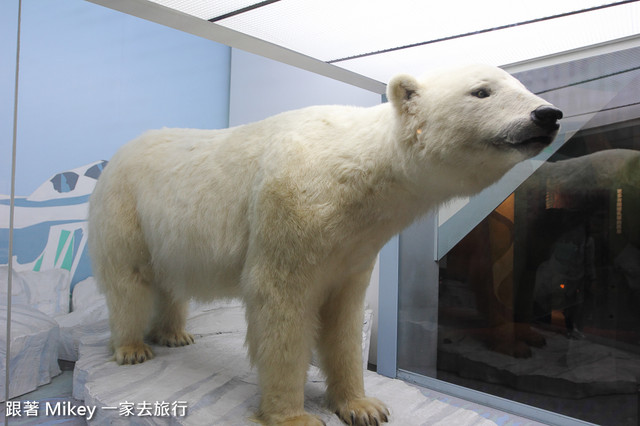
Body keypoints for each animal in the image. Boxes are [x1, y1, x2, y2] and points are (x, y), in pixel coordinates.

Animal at [89, 64, 560, 426]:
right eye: (482, 91)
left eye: (520, 85)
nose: (548, 114)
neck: (358, 172)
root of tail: (115, 156)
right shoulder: (291, 205)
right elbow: (281, 304)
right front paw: (293, 415)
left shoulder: (355, 245)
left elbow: (344, 317)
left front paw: (363, 406)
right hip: (125, 205)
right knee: (127, 278)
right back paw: (133, 347)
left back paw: (175, 333)